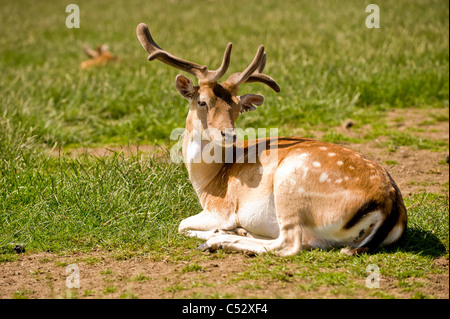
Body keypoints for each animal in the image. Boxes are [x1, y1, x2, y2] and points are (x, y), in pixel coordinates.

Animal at [135, 23, 406, 258]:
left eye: (238, 109)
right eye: (202, 101)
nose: (229, 134)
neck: (208, 181)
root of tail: (389, 205)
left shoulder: (221, 209)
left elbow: (181, 224)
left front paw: (218, 232)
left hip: (291, 186)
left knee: (289, 244)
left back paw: (219, 240)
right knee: (309, 243)